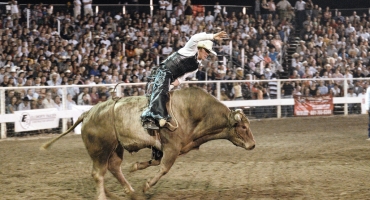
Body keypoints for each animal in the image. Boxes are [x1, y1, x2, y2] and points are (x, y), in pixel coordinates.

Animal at [40, 86, 254, 199]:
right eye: (243, 127)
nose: (252, 145)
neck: (193, 111)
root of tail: (88, 113)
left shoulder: (165, 148)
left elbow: (155, 162)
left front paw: (137, 166)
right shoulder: (172, 148)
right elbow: (164, 168)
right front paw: (147, 185)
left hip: (115, 148)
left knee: (113, 168)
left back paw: (128, 191)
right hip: (101, 149)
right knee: (98, 173)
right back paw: (105, 195)